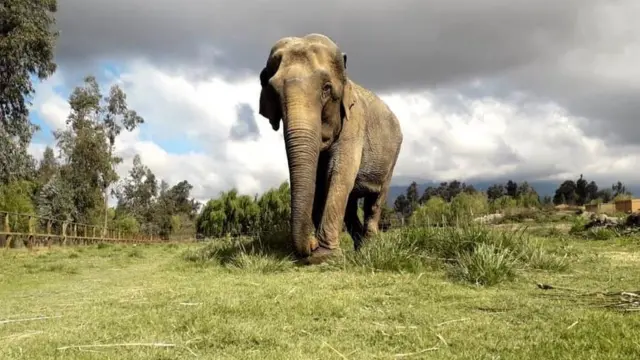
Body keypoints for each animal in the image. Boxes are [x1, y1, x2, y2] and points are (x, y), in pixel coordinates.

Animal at [258, 33, 402, 264]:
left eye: (326, 88)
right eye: (273, 91)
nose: (311, 243)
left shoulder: (354, 122)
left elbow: (338, 174)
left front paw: (324, 256)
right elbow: (319, 182)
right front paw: (322, 252)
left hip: (393, 156)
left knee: (375, 201)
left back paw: (369, 251)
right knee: (351, 207)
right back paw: (359, 250)